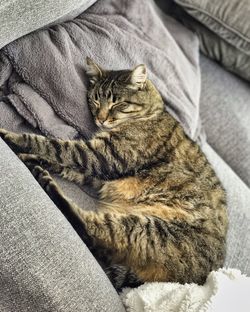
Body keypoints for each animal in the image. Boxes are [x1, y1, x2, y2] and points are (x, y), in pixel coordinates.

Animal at [0, 57, 229, 292]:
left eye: (117, 104)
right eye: (95, 100)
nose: (100, 119)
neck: (151, 113)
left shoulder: (104, 156)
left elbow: (54, 146)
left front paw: (12, 137)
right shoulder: (100, 172)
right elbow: (65, 163)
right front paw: (35, 158)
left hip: (146, 229)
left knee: (91, 232)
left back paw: (48, 184)